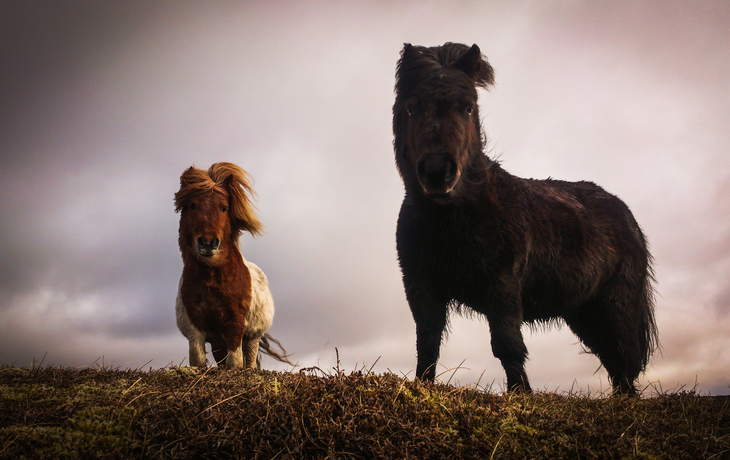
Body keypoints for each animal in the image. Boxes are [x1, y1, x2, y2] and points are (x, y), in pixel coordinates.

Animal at [174, 162, 292, 369]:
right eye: (191, 205)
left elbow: (235, 363)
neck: (212, 281)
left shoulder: (235, 325)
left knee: (249, 362)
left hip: (251, 338)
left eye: (224, 208)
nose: (208, 243)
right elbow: (198, 361)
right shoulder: (195, 329)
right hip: (217, 343)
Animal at [392, 42, 658, 394]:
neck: (454, 219)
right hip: (583, 312)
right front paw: (422, 387)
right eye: (411, 108)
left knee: (623, 356)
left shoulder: (503, 287)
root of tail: (625, 213)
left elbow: (507, 345)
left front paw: (521, 393)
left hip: (617, 304)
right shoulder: (421, 287)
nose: (437, 172)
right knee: (614, 362)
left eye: (467, 108)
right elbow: (427, 343)